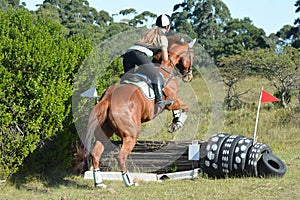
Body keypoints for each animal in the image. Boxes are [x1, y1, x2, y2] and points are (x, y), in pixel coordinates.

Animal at [85, 36, 196, 188]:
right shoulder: (172, 101)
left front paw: (174, 123)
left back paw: (99, 183)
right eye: (192, 56)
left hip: (105, 131)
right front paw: (177, 124)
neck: (165, 67)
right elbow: (185, 107)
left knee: (96, 154)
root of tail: (107, 98)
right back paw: (129, 182)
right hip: (131, 134)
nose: (189, 76)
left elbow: (179, 110)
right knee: (121, 156)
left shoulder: (173, 102)